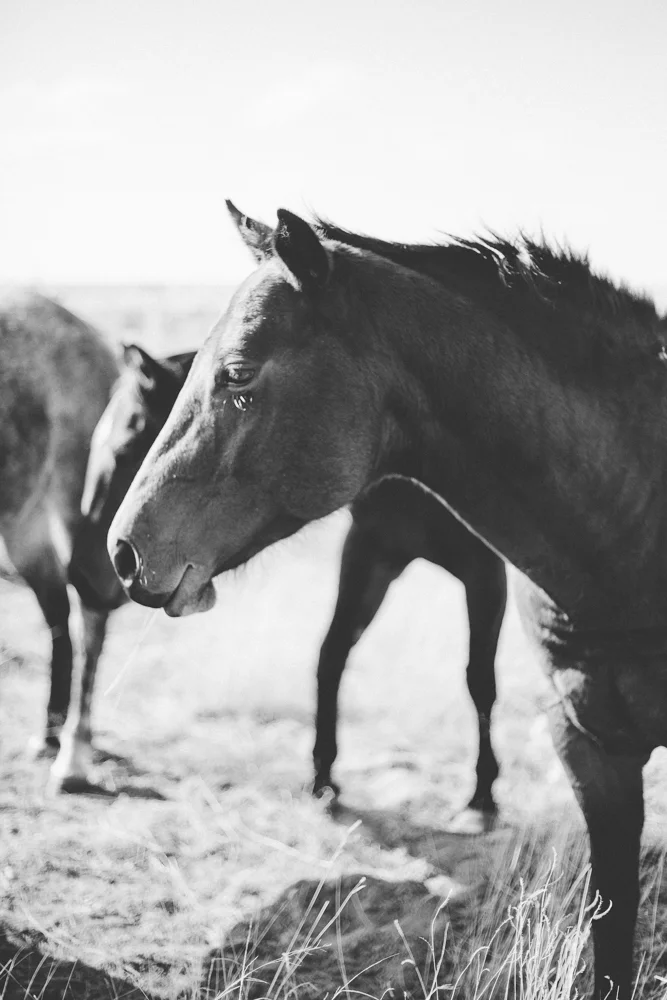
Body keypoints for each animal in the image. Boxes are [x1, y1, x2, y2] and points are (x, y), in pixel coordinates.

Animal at [82, 340, 506, 829]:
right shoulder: (371, 553)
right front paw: (323, 776)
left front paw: (482, 797)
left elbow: (480, 679)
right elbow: (332, 654)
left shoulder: (484, 573)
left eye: (125, 444)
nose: (111, 558)